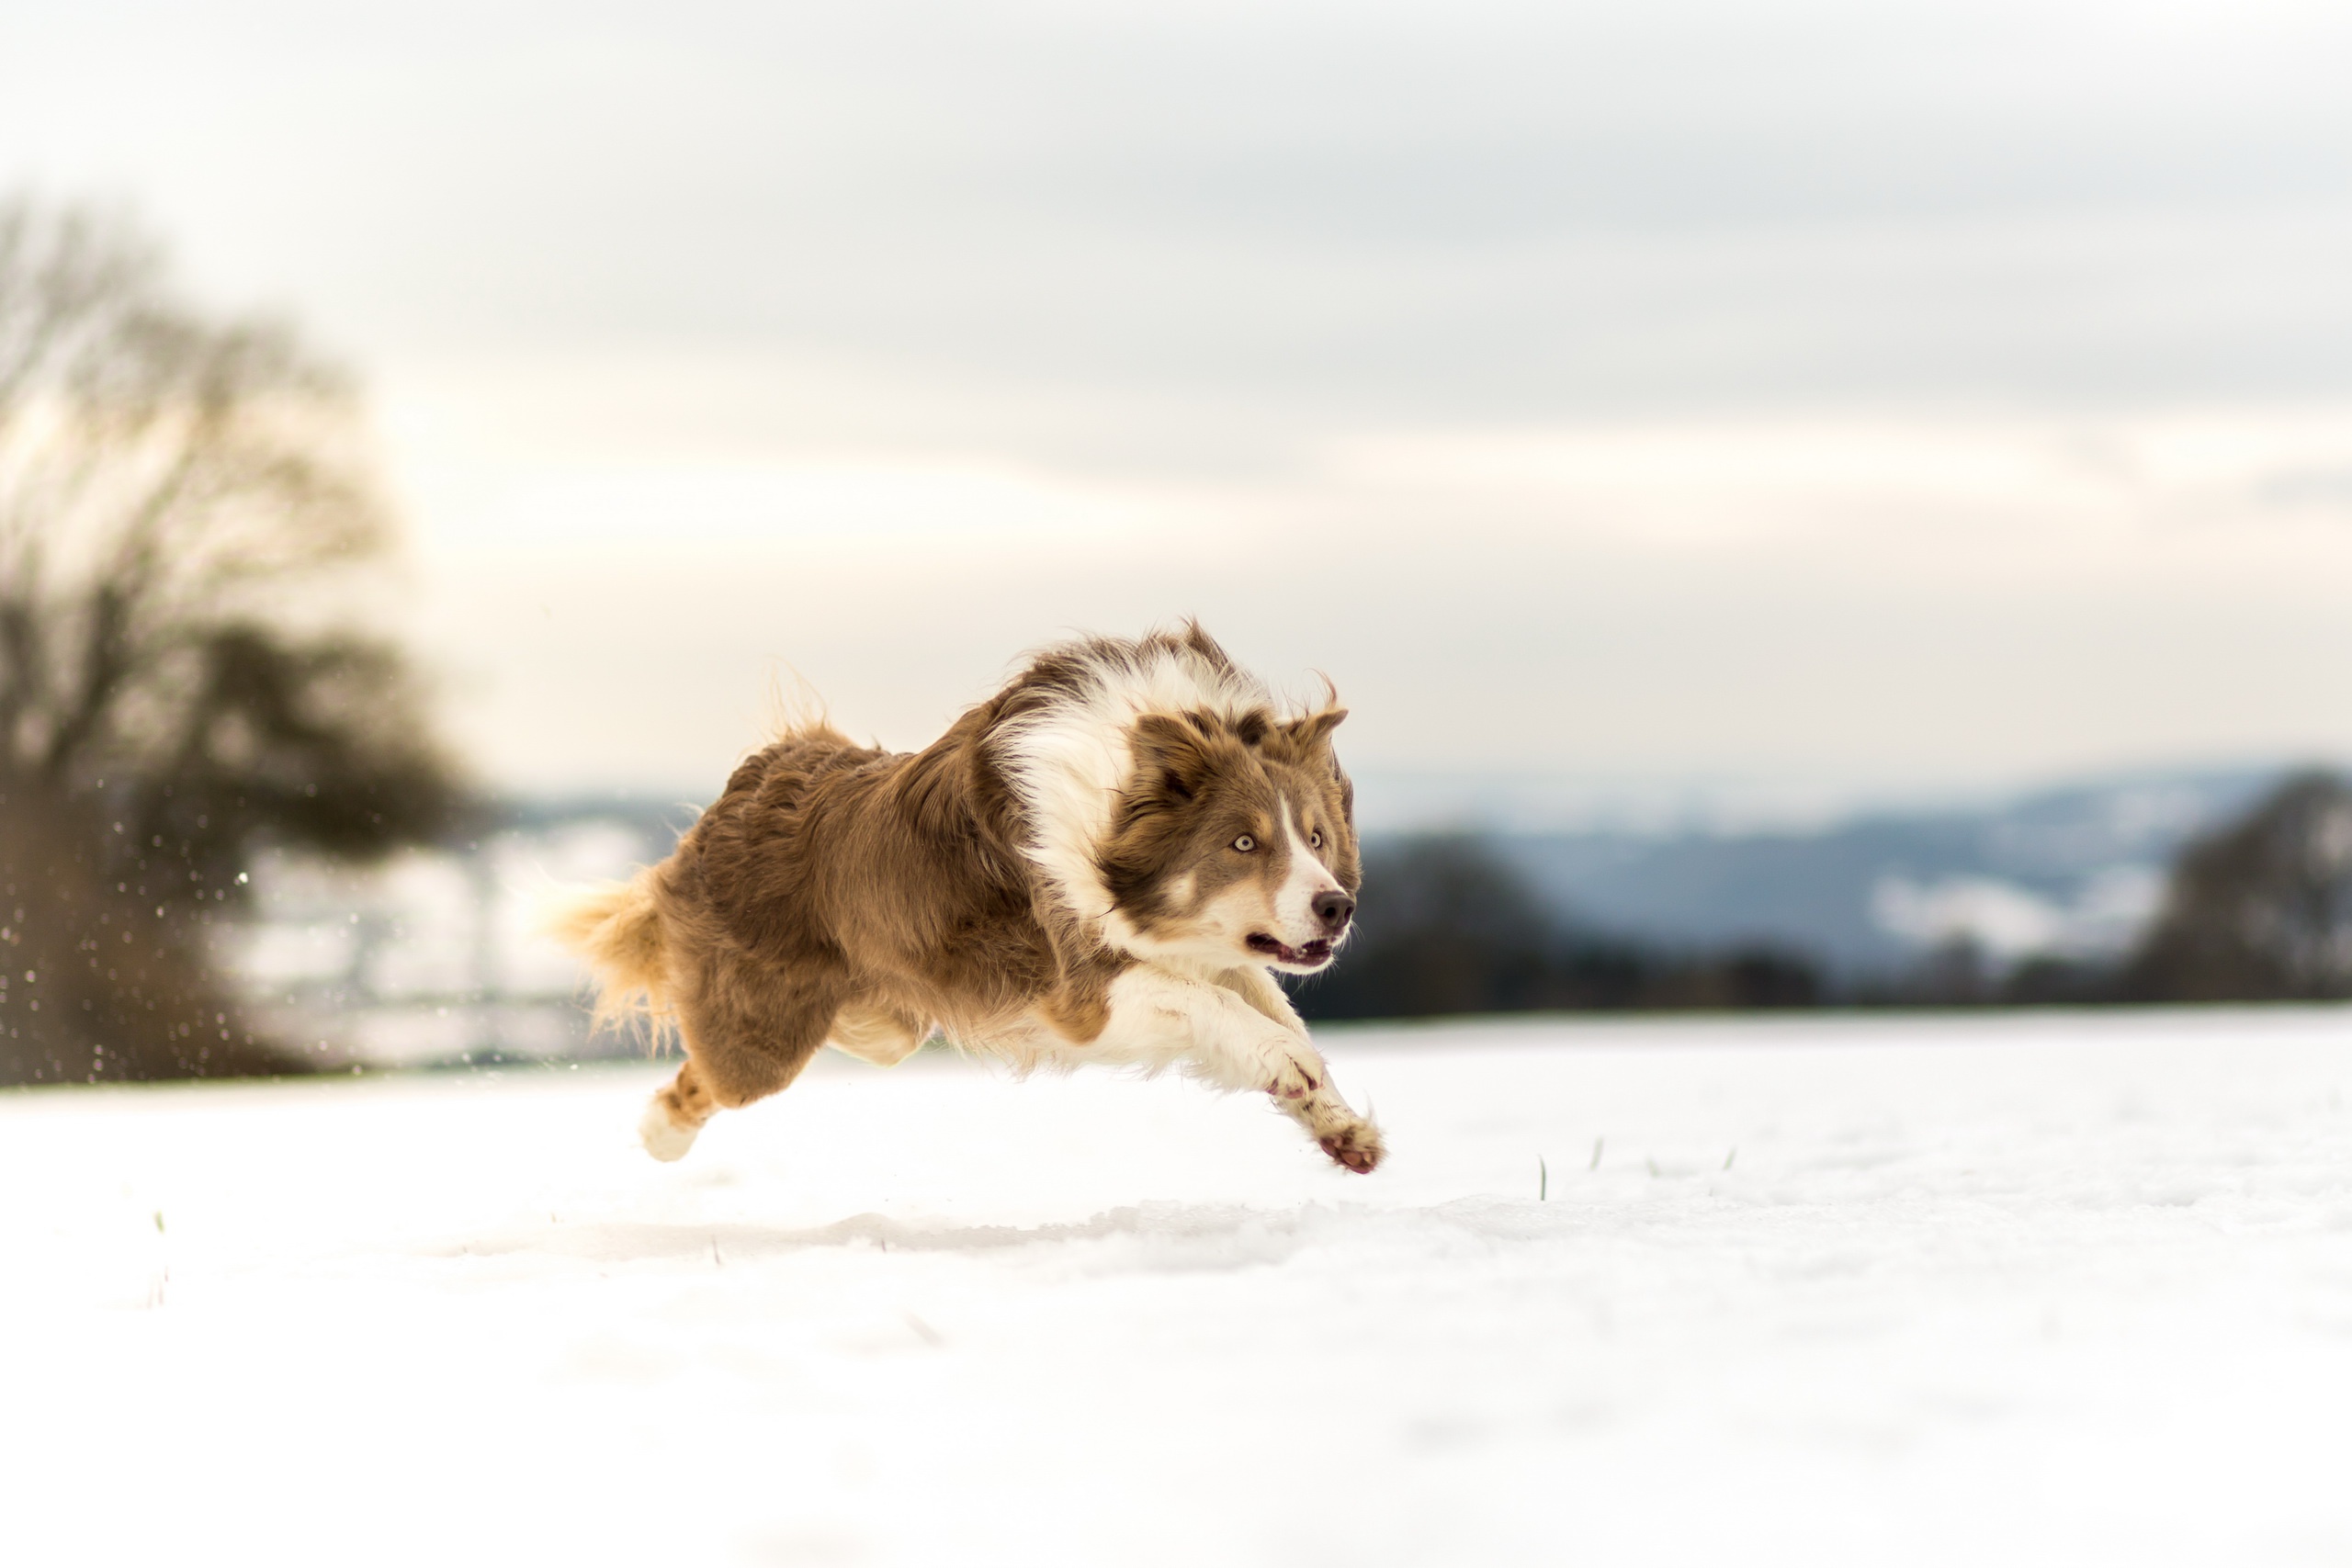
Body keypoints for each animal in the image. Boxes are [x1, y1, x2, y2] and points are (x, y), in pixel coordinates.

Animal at [545, 625, 1374, 1175]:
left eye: (1316, 836)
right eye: (1243, 843)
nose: (1337, 907)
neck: (1114, 792)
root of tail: (744, 785)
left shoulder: (1196, 951)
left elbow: (1264, 1003)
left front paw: (1336, 1121)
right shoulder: (1081, 989)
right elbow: (1221, 1007)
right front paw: (1291, 1064)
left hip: (888, 1021)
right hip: (764, 1040)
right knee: (708, 1075)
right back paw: (659, 1133)